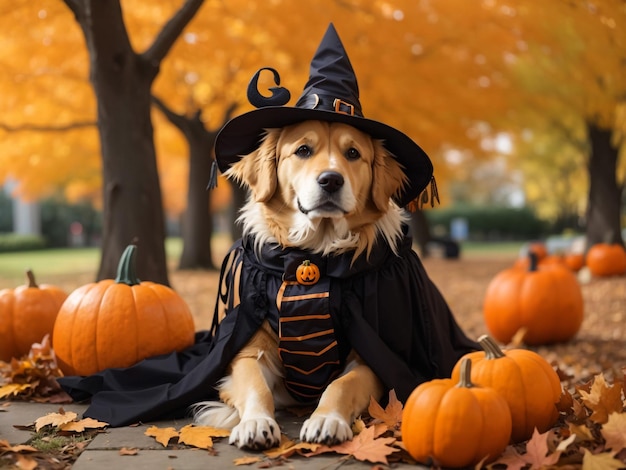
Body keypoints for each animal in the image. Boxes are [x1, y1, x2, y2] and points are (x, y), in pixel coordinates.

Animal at [194, 119, 410, 450]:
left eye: (353, 153)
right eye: (303, 150)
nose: (331, 180)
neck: (313, 256)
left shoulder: (369, 361)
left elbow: (341, 385)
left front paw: (327, 420)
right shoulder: (249, 351)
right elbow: (257, 387)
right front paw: (256, 423)